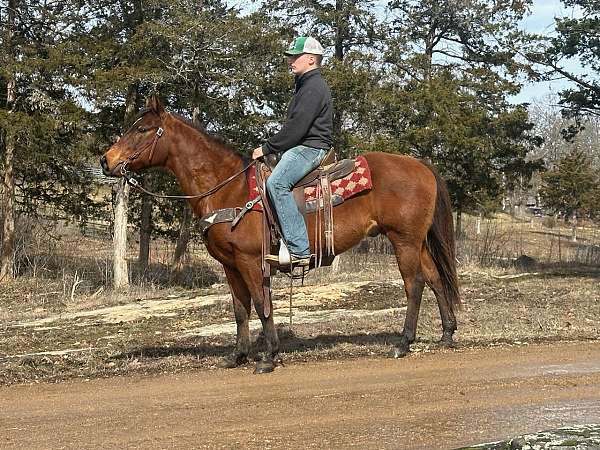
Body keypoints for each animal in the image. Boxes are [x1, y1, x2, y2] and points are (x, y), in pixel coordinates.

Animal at [99, 95, 460, 372]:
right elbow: (240, 309)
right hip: (417, 241)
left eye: (142, 129)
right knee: (434, 278)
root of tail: (422, 165)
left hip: (404, 240)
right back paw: (447, 334)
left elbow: (262, 304)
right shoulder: (230, 265)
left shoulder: (250, 261)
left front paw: (269, 357)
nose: (106, 160)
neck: (228, 189)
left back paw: (403, 342)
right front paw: (238, 355)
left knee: (414, 284)